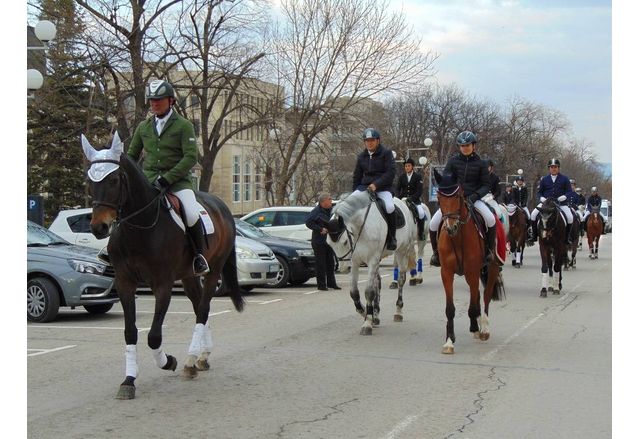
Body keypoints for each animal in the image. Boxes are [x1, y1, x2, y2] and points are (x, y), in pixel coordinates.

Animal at [81, 133, 244, 398]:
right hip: (188, 276)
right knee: (199, 306)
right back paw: (201, 357)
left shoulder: (162, 285)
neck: (139, 227)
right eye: (89, 180)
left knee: (203, 309)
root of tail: (220, 205)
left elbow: (154, 336)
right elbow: (130, 332)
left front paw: (168, 361)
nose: (98, 227)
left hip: (213, 270)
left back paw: (189, 361)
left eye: (114, 180)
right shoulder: (125, 283)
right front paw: (129, 380)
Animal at [328, 191, 418, 336]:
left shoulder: (372, 260)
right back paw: (376, 315)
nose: (343, 269)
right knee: (378, 283)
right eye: (329, 244)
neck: (361, 227)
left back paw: (398, 312)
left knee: (401, 279)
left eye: (345, 242)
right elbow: (354, 293)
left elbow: (369, 291)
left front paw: (367, 323)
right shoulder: (355, 261)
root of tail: (403, 202)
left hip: (402, 251)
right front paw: (365, 312)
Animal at [436, 170, 504, 356]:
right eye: (438, 196)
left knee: (485, 295)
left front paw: (478, 328)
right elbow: (450, 308)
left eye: (458, 196)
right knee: (478, 295)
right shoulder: (447, 273)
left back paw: (484, 328)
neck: (457, 237)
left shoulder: (472, 272)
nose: (450, 227)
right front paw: (449, 341)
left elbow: (475, 303)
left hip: (492, 267)